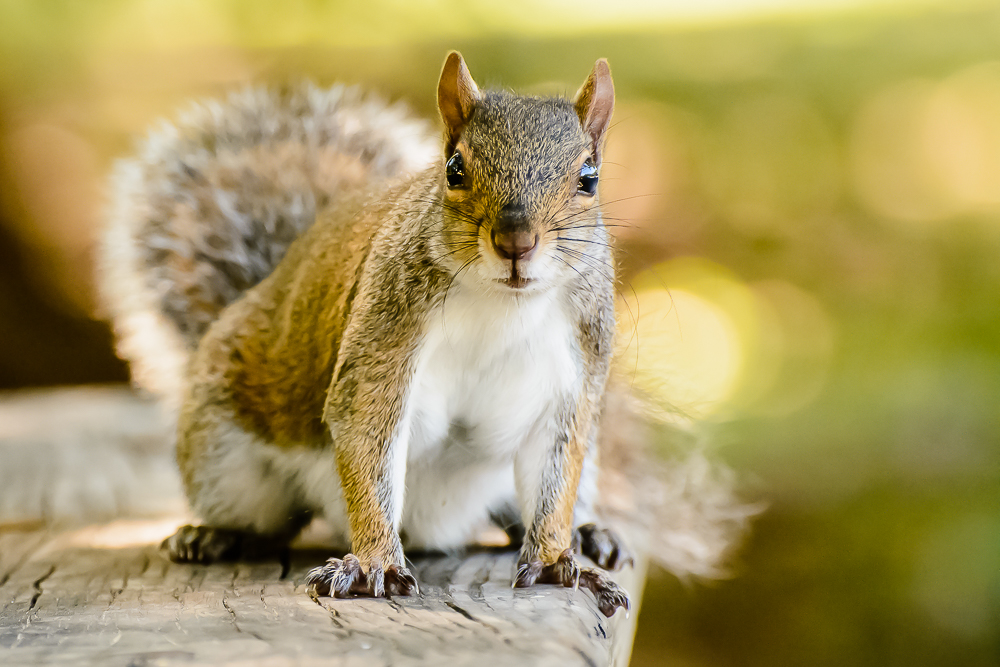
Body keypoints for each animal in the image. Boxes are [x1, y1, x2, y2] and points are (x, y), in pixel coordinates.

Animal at [99, 49, 752, 620]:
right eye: (454, 169)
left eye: (589, 179)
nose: (515, 239)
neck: (501, 303)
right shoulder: (383, 344)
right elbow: (367, 437)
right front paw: (372, 564)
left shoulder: (576, 375)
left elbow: (554, 476)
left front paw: (554, 561)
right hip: (225, 453)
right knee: (266, 519)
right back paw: (212, 535)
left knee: (528, 506)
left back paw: (589, 534)